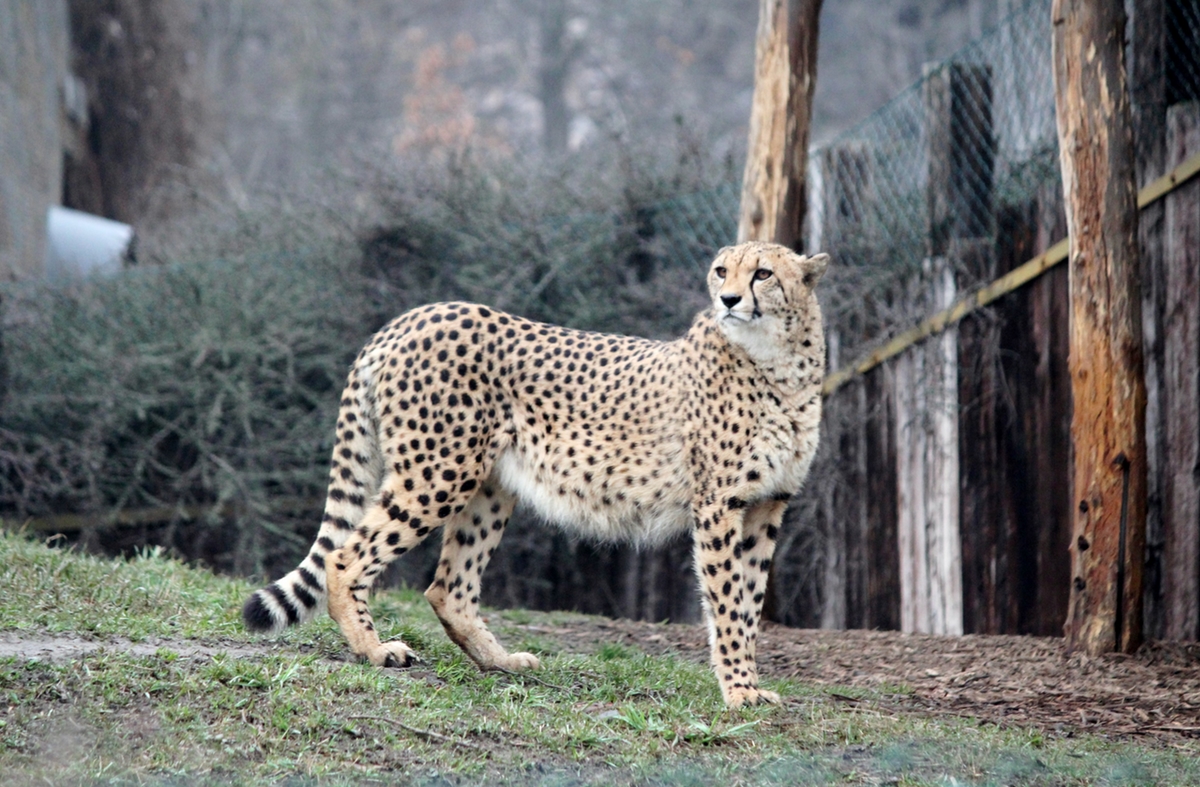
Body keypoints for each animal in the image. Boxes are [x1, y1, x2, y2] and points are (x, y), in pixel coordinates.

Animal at [242, 240, 828, 709]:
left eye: (763, 273)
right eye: (721, 270)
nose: (728, 300)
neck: (781, 367)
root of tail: (412, 316)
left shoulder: (766, 505)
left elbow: (749, 603)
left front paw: (749, 683)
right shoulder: (720, 505)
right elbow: (728, 603)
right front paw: (738, 692)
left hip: (488, 486)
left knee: (448, 587)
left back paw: (499, 661)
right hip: (439, 472)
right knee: (344, 558)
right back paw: (374, 650)